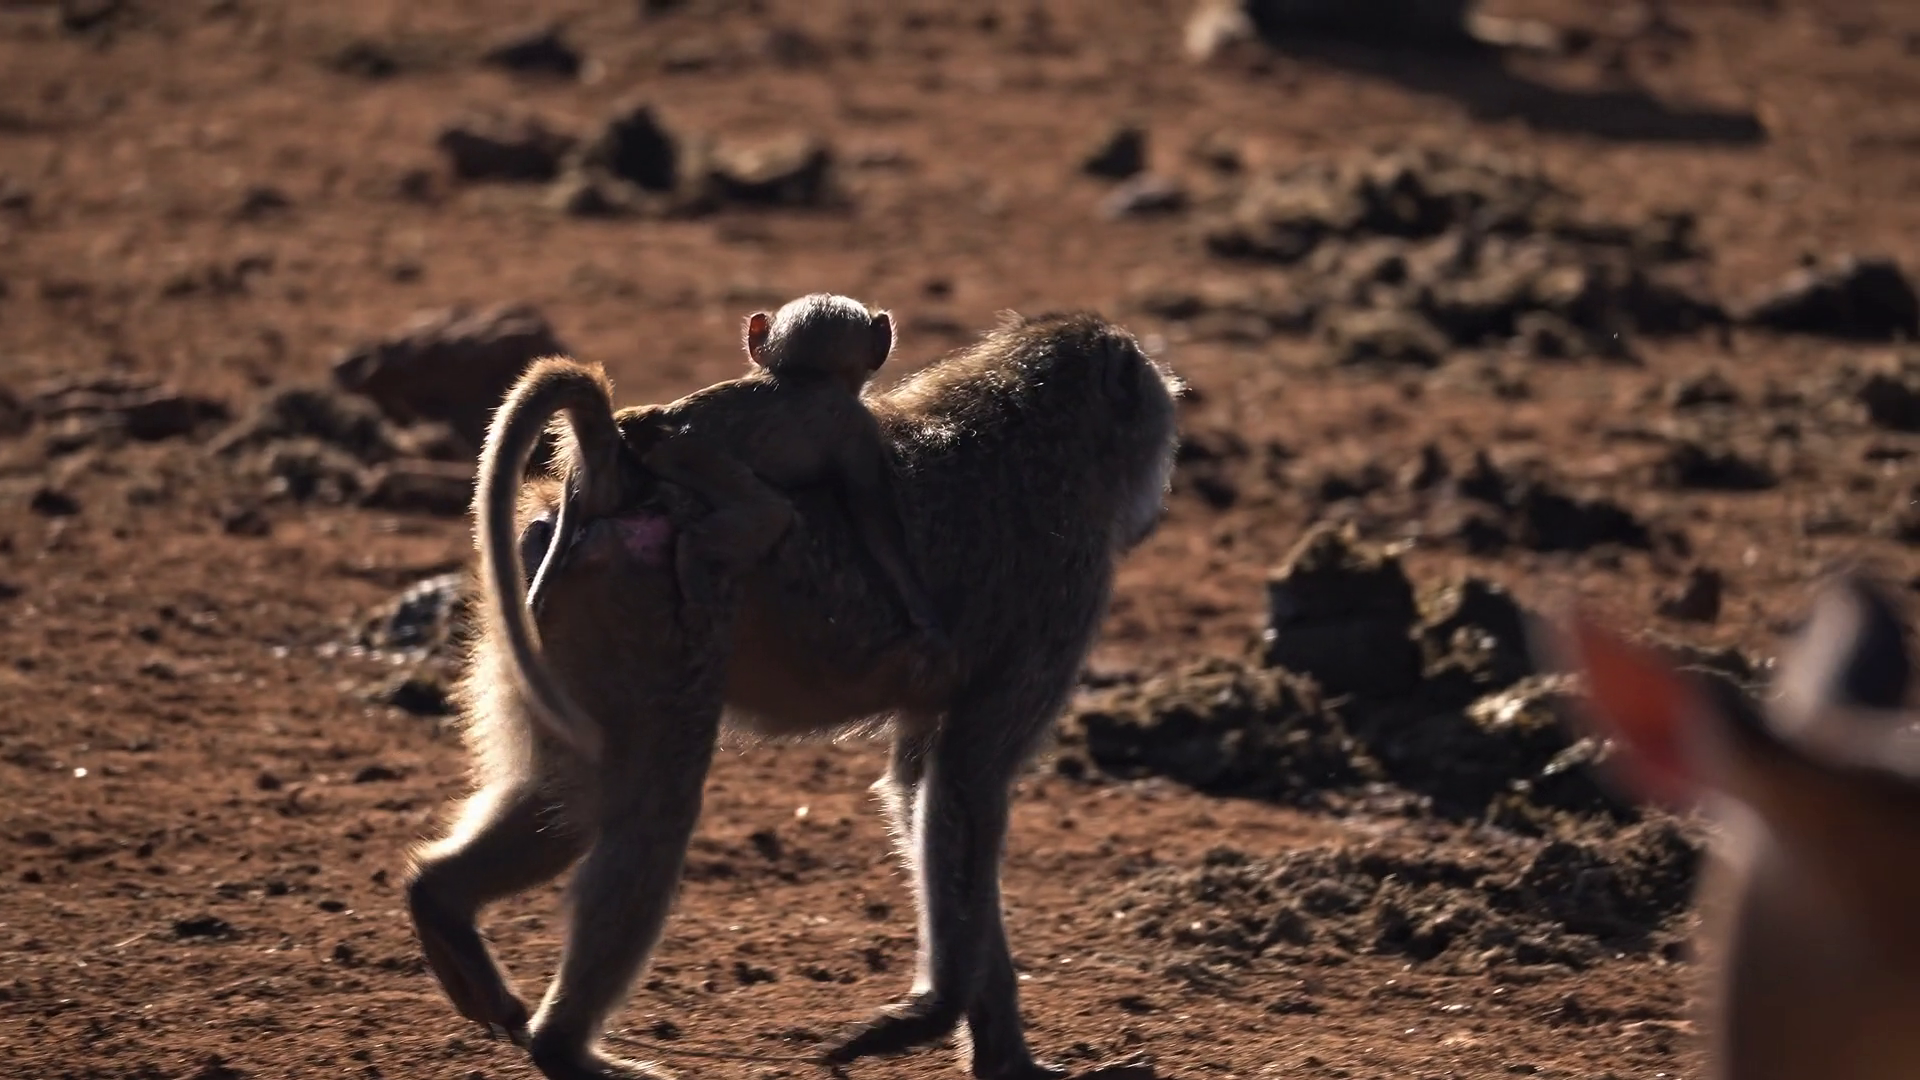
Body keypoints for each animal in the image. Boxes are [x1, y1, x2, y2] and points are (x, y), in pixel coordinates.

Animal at [404, 311, 1184, 1080]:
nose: (1159, 488)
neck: (1037, 442)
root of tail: (607, 477)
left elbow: (922, 789)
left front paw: (1008, 1065)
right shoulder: (1062, 602)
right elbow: (967, 788)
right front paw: (930, 1018)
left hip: (544, 602)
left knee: (571, 795)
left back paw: (441, 907)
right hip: (647, 605)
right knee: (650, 809)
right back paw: (565, 1049)